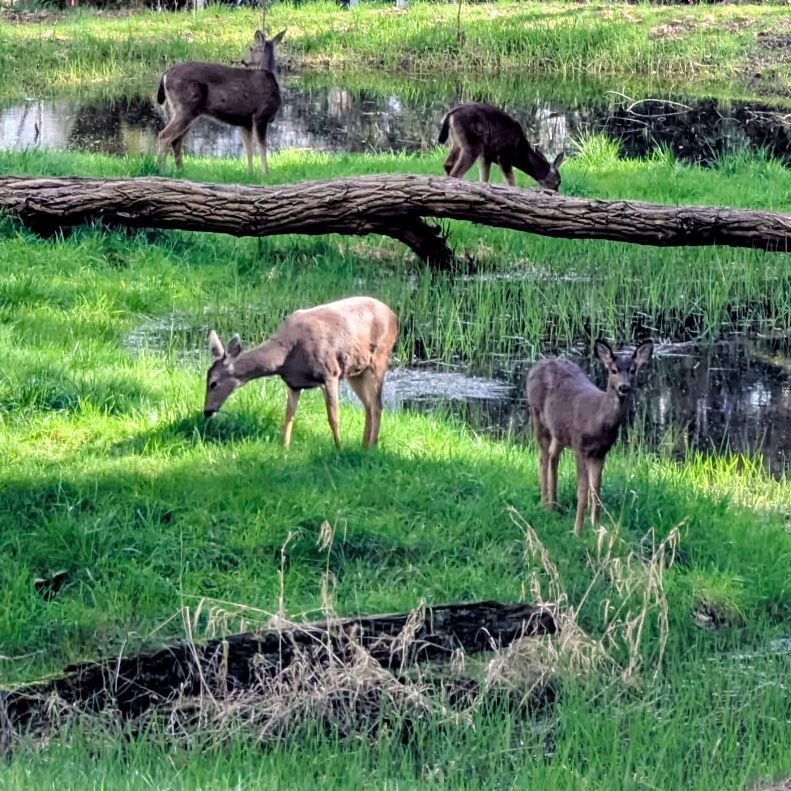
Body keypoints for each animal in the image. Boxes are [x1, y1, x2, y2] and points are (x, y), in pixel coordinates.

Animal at [156, 29, 286, 175]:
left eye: (251, 48)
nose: (243, 61)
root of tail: (165, 74)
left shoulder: (245, 121)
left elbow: (248, 149)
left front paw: (250, 173)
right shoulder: (260, 115)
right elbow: (262, 147)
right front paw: (265, 174)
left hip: (177, 111)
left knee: (176, 140)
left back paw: (180, 171)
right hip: (185, 108)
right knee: (164, 136)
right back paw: (160, 169)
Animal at [203, 297, 399, 449]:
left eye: (213, 383)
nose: (206, 411)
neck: (285, 357)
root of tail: (394, 316)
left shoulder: (330, 373)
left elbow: (333, 417)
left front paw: (339, 447)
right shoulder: (294, 383)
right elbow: (289, 416)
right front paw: (284, 448)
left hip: (379, 359)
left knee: (377, 406)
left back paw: (372, 446)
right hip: (356, 371)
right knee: (368, 405)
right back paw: (364, 445)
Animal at [526, 339, 654, 535]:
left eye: (633, 370)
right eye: (613, 370)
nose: (624, 387)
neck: (598, 419)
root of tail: (538, 363)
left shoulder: (601, 452)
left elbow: (596, 490)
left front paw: (595, 526)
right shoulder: (580, 446)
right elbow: (583, 490)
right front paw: (577, 531)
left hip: (560, 432)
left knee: (553, 456)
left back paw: (554, 505)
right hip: (537, 415)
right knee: (543, 457)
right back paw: (544, 503)